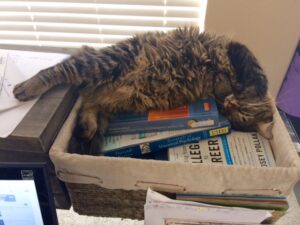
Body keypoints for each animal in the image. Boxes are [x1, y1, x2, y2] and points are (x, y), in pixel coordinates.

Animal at [12, 26, 274, 156]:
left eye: (237, 118)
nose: (229, 104)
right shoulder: (238, 52)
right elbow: (256, 75)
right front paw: (243, 87)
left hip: (109, 101)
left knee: (88, 107)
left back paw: (85, 132)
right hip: (105, 62)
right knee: (62, 68)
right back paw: (27, 87)